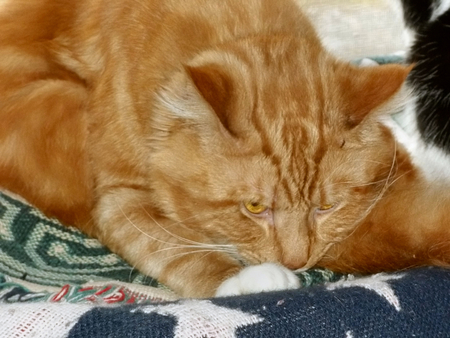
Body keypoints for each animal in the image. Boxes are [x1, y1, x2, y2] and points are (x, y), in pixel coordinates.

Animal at [0, 0, 442, 298]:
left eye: (326, 207)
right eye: (254, 207)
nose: (296, 262)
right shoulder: (116, 197)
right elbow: (172, 246)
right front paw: (241, 280)